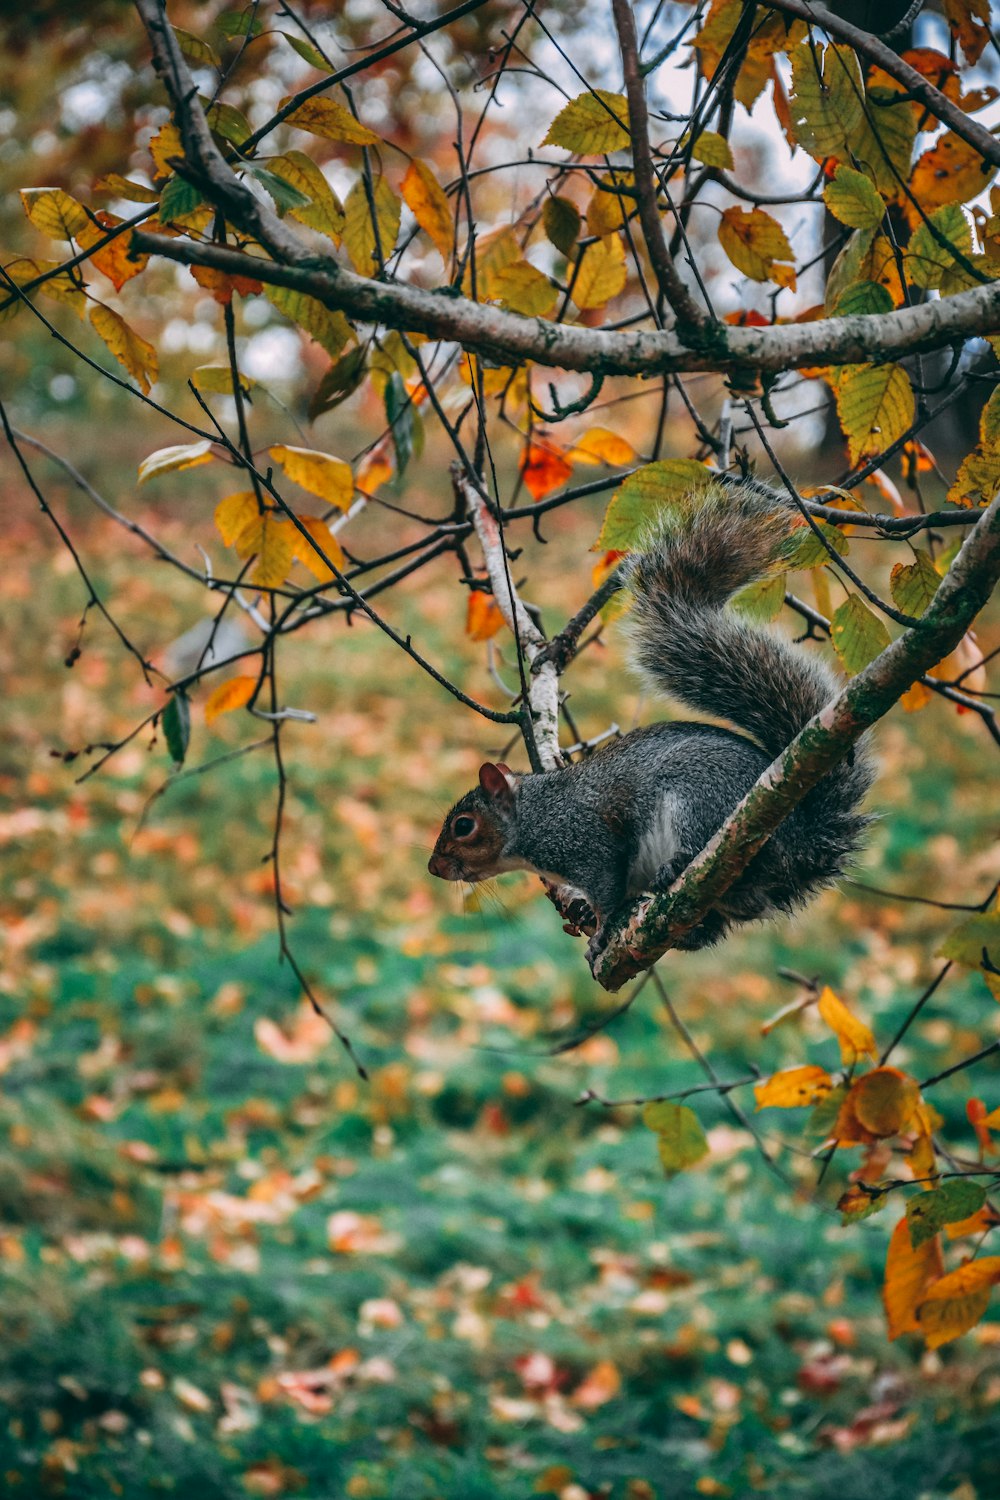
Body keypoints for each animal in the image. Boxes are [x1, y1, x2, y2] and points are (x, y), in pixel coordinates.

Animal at [431, 486, 875, 966]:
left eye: (463, 826)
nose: (434, 867)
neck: (537, 815)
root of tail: (800, 842)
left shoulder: (588, 843)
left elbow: (607, 890)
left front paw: (600, 934)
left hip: (700, 798)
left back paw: (676, 867)